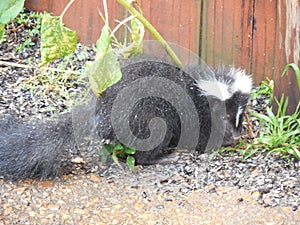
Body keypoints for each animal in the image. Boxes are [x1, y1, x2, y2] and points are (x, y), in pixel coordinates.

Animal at [0, 58, 252, 179]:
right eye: (224, 116)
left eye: (240, 116)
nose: (236, 137)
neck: (197, 91)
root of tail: (101, 116)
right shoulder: (191, 114)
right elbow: (200, 135)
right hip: (148, 119)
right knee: (143, 152)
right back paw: (165, 157)